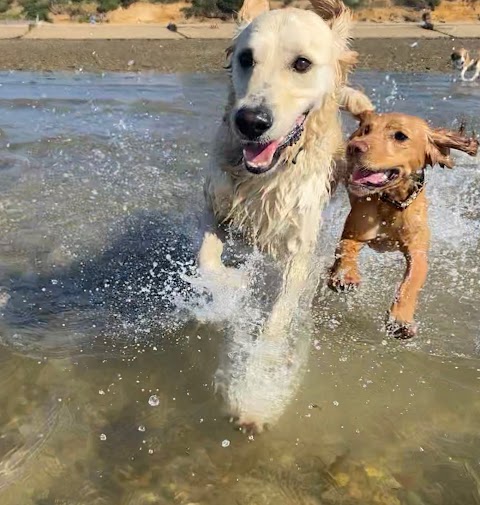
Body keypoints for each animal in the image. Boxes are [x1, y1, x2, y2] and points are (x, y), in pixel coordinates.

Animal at [197, 0, 374, 432]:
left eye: (302, 63)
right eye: (246, 58)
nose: (250, 121)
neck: (266, 176)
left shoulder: (298, 248)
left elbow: (276, 322)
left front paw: (254, 395)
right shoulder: (215, 207)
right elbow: (207, 262)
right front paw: (235, 286)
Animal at [328, 112, 478, 336]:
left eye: (400, 136)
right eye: (367, 130)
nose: (354, 147)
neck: (392, 203)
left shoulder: (417, 252)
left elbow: (411, 283)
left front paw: (400, 319)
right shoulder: (354, 232)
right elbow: (345, 248)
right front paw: (345, 276)